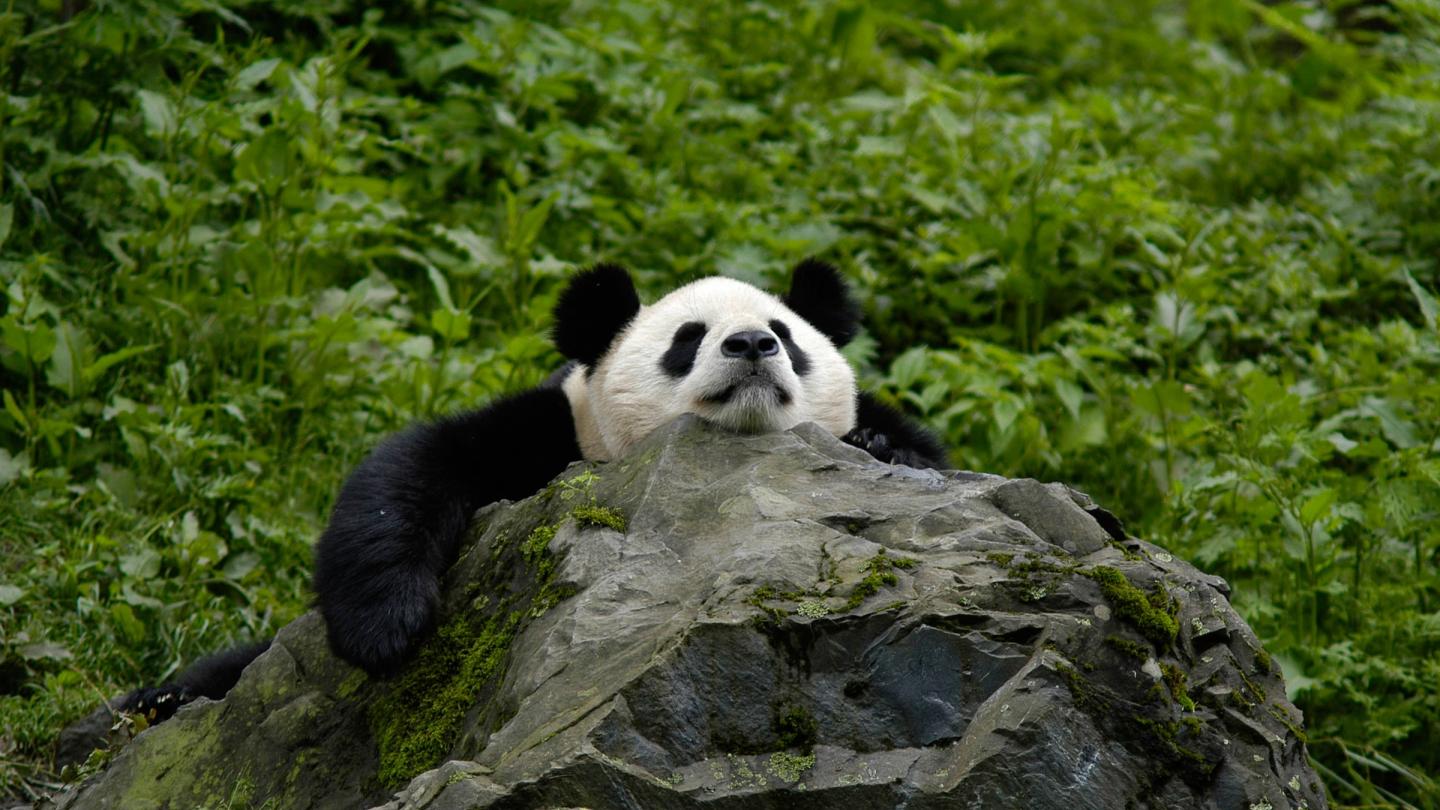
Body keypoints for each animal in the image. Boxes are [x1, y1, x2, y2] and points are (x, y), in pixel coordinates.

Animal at [117, 259, 945, 720]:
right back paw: (146, 707)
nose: (751, 345)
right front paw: (387, 625)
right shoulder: (560, 435)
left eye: (788, 335)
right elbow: (415, 466)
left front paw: (883, 450)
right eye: (687, 340)